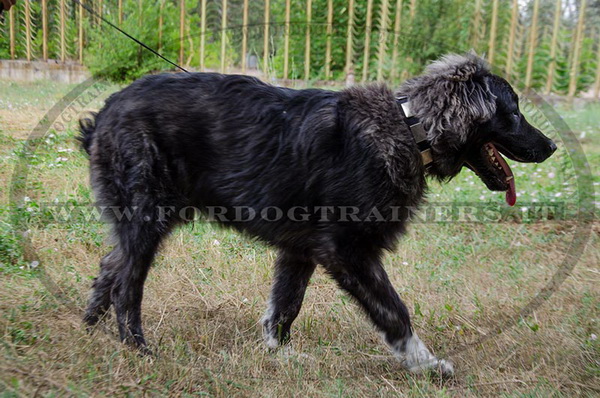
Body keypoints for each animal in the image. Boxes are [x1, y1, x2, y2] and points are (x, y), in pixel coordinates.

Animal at [79, 53, 556, 376]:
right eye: (514, 113)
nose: (552, 147)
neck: (411, 128)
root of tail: (105, 111)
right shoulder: (347, 250)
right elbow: (394, 310)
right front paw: (424, 364)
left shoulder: (300, 251)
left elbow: (285, 305)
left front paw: (279, 353)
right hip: (147, 218)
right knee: (126, 285)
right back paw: (138, 350)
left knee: (108, 267)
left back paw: (87, 331)